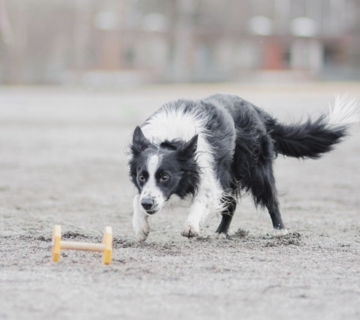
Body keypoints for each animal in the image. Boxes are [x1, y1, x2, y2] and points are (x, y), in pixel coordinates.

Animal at [128, 94, 358, 241]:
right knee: (231, 204)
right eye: (141, 177)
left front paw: (191, 226)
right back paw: (221, 232)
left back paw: (280, 231)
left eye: (165, 177)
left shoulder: (210, 176)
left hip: (256, 169)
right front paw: (140, 228)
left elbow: (200, 201)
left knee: (271, 199)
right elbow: (135, 200)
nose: (148, 204)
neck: (170, 139)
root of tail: (255, 108)